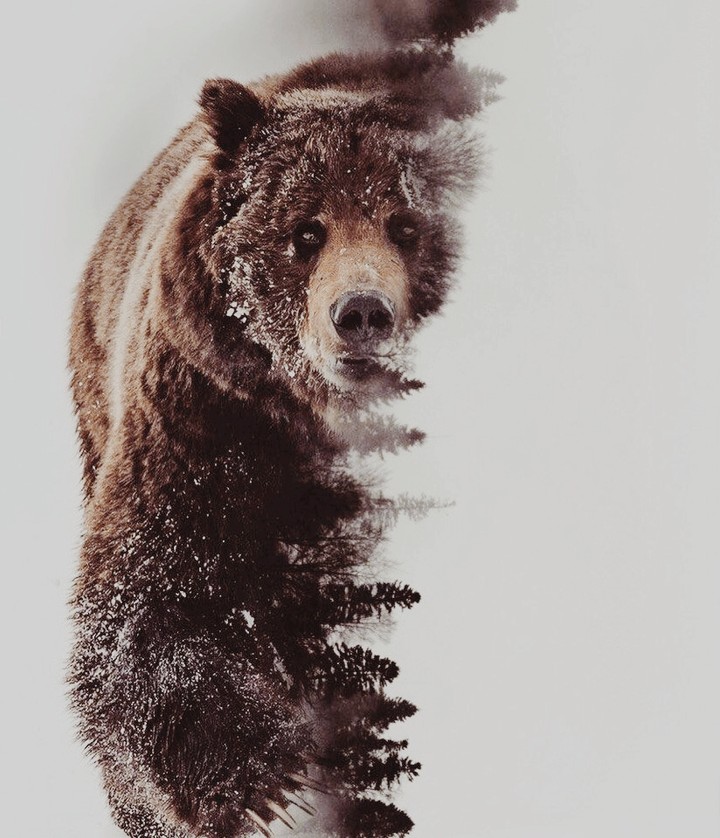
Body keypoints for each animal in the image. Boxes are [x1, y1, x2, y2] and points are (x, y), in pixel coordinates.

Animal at [68, 3, 515, 836]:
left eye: (407, 226)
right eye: (306, 231)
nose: (361, 314)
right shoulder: (205, 419)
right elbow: (147, 604)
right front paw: (266, 783)